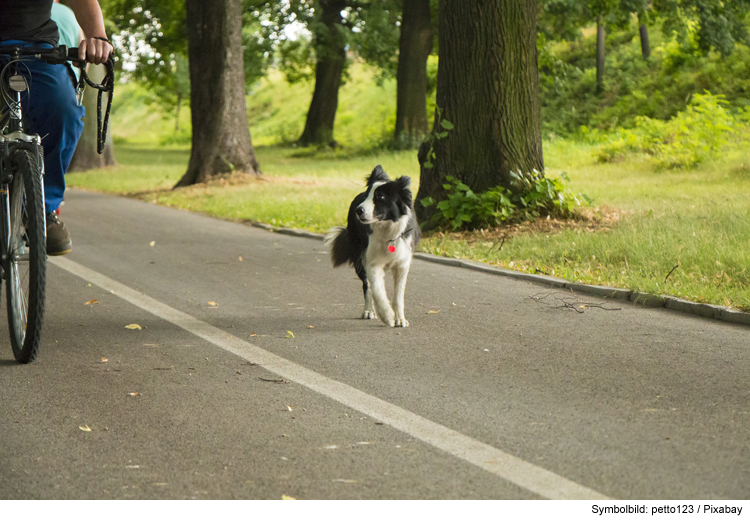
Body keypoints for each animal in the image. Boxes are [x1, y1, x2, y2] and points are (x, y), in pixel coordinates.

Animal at [326, 165, 424, 326]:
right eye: (367, 196)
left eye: (381, 197)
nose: (358, 210)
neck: (388, 232)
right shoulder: (371, 262)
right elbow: (377, 291)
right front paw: (387, 316)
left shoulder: (402, 263)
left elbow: (398, 296)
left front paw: (400, 319)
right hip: (359, 257)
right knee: (367, 286)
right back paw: (368, 311)